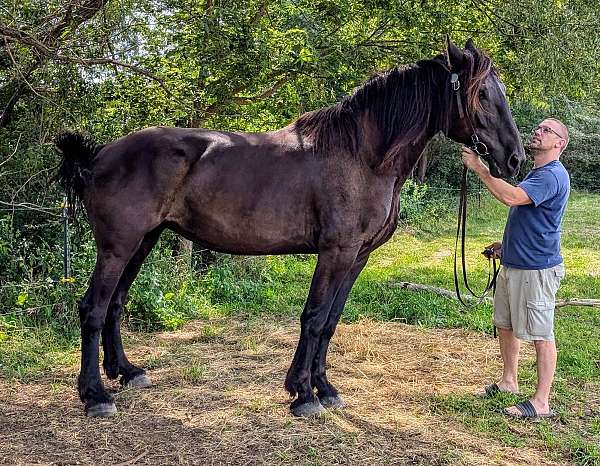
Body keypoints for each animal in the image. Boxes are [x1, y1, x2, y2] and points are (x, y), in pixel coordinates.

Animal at [57, 41, 524, 418]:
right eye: (482, 94)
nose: (516, 159)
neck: (362, 156)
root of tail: (98, 156)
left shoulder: (357, 256)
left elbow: (332, 320)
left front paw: (325, 388)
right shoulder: (335, 251)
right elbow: (314, 318)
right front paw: (302, 394)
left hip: (142, 243)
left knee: (116, 305)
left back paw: (126, 372)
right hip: (117, 248)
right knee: (93, 309)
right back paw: (95, 396)